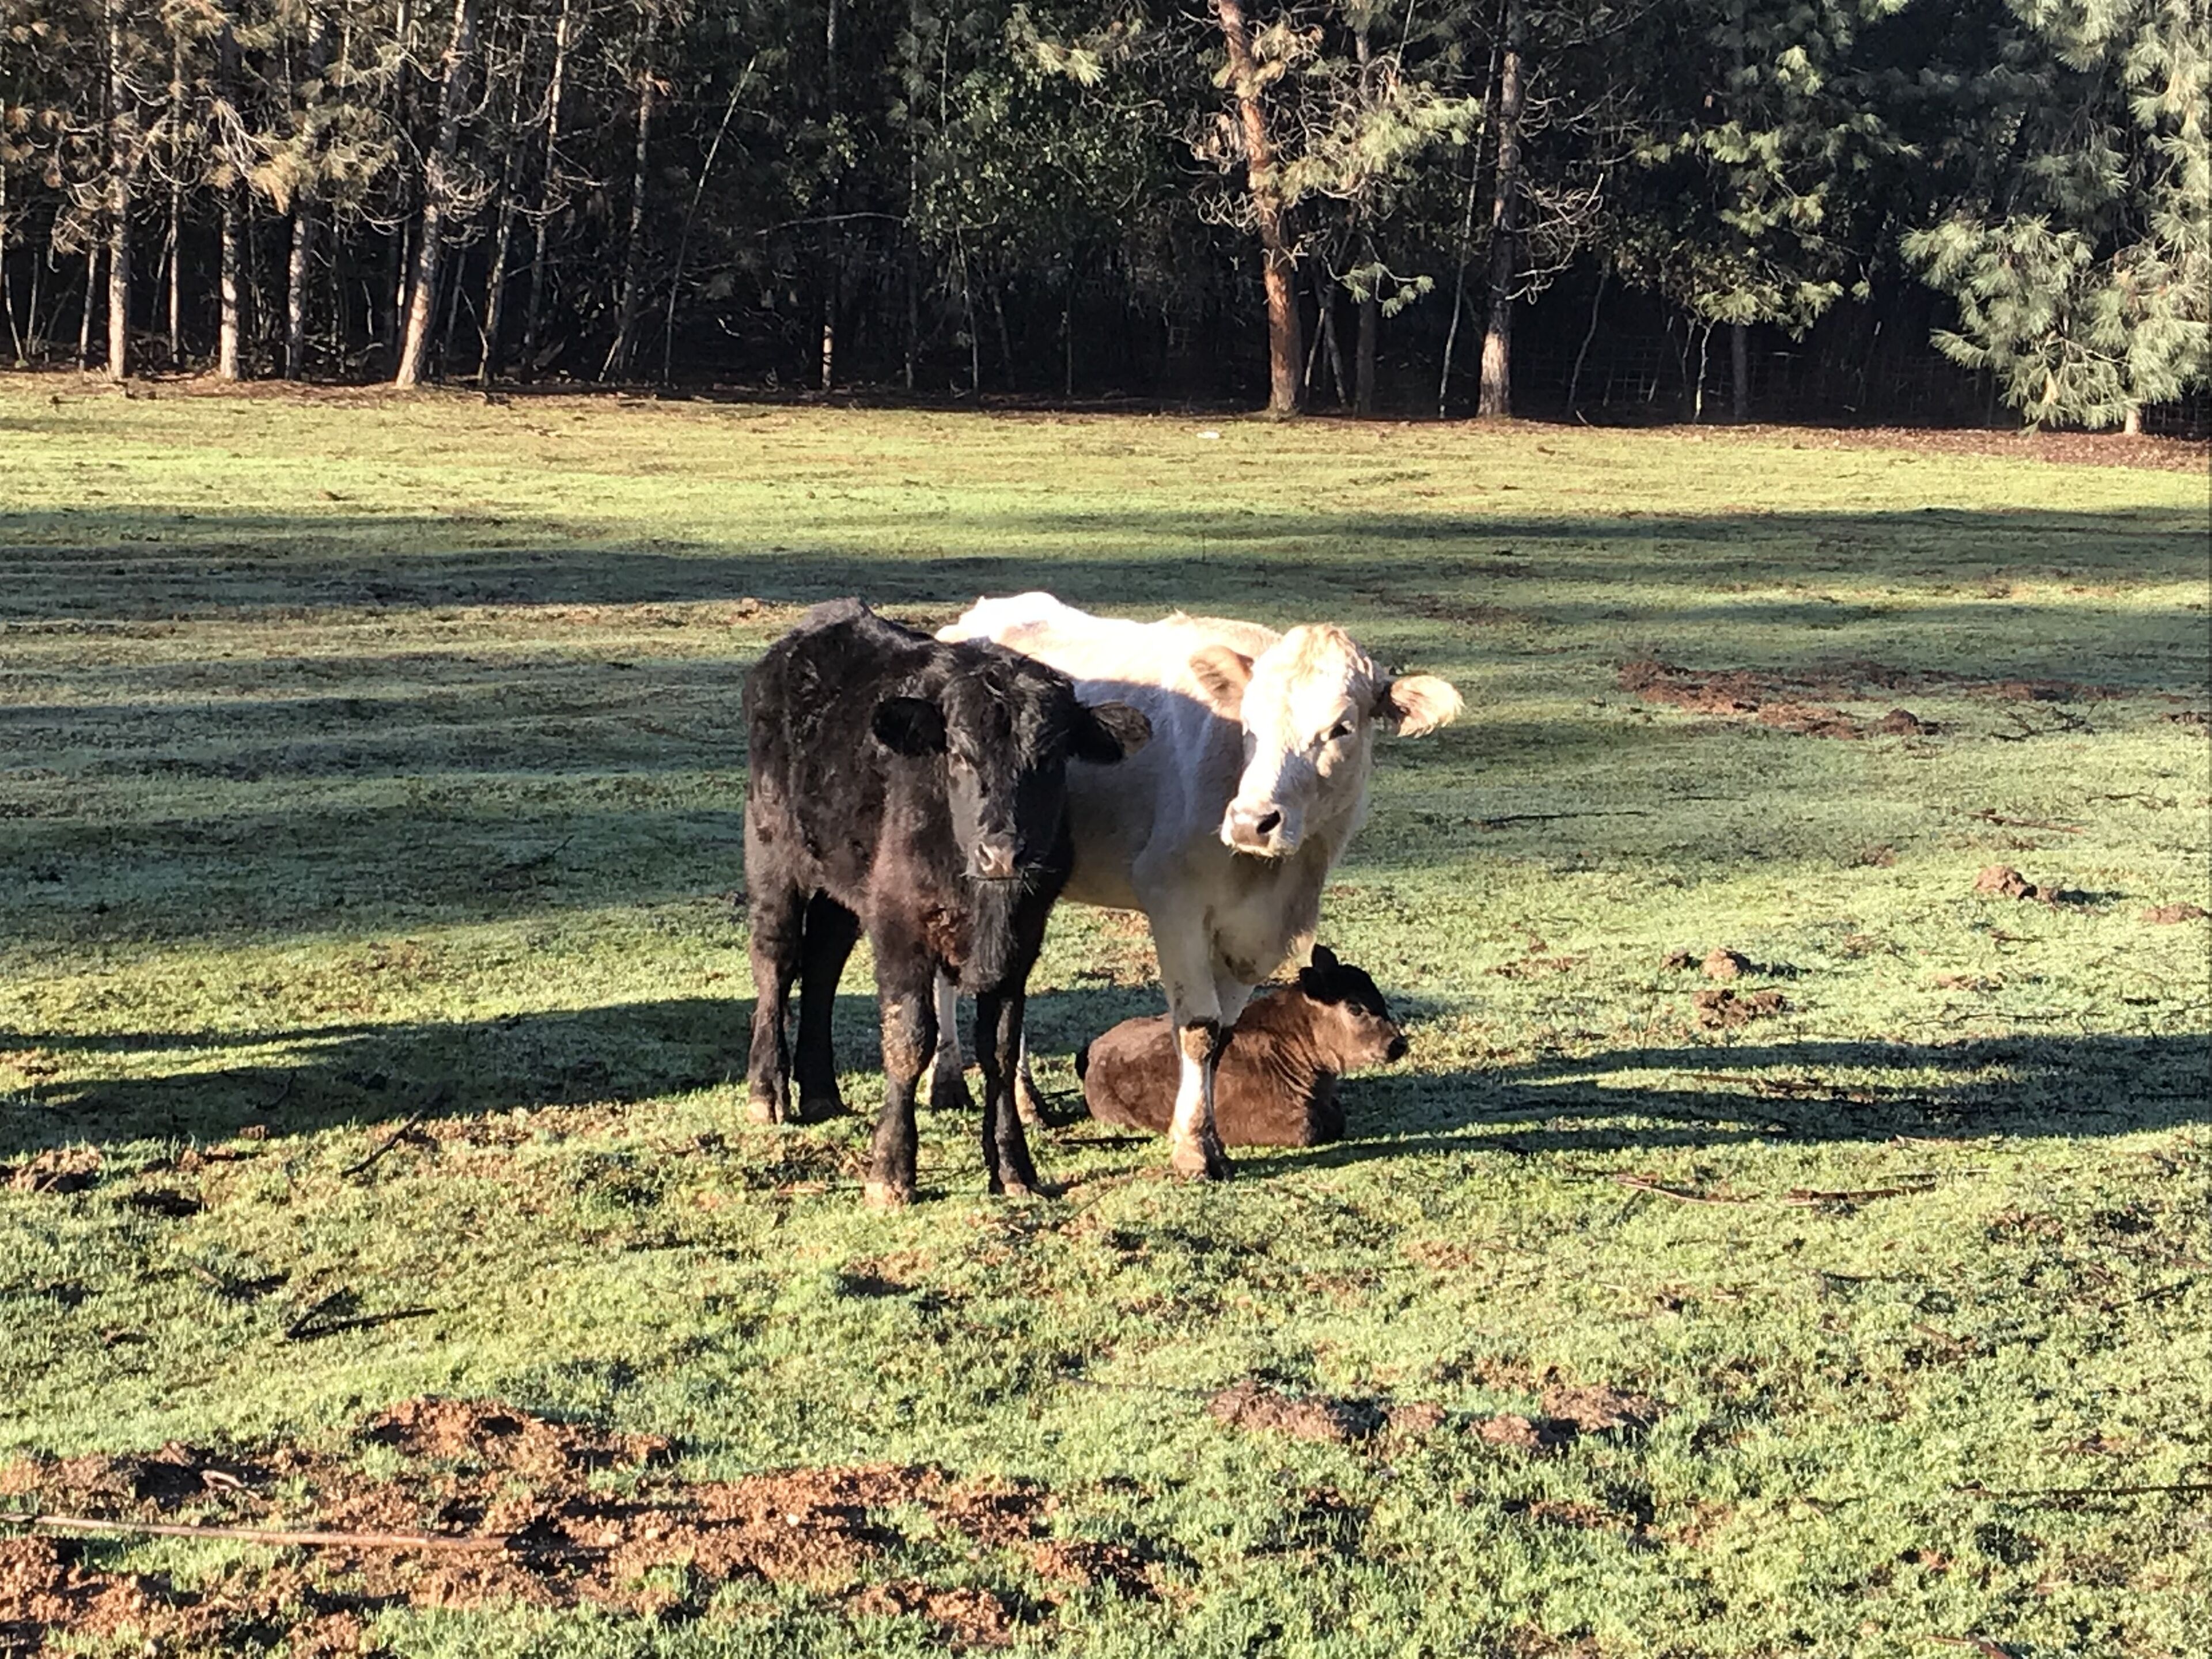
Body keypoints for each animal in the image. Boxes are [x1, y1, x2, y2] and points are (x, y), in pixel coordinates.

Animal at [742, 599, 1149, 1206]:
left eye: (1052, 756)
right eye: (958, 754)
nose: (1002, 853)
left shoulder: (1020, 940)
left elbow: (999, 1048)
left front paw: (1013, 1166)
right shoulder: (900, 924)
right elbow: (909, 1037)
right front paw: (891, 1171)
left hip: (842, 879)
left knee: (823, 964)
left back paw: (820, 1091)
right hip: (773, 853)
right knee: (778, 958)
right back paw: (767, 1090)